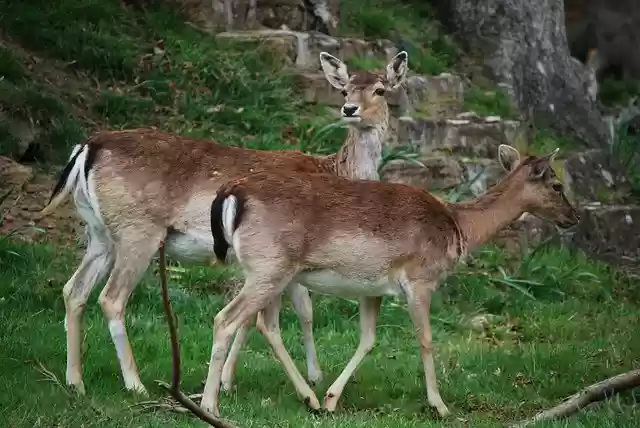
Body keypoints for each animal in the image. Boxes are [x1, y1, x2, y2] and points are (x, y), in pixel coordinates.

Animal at [39, 50, 409, 398]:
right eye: (345, 88)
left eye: (379, 89)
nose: (349, 109)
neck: (335, 171)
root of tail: (87, 147)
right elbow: (282, 313)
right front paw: (280, 380)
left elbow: (297, 312)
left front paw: (295, 377)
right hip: (137, 230)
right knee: (112, 298)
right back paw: (135, 384)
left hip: (99, 232)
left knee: (74, 290)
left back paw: (75, 382)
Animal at [199, 144, 580, 418]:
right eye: (557, 185)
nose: (573, 217)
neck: (459, 228)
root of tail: (232, 193)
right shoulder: (420, 279)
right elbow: (426, 340)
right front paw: (440, 406)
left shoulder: (372, 288)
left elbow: (368, 340)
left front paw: (332, 399)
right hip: (270, 267)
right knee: (227, 319)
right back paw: (210, 405)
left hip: (269, 271)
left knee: (263, 323)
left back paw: (308, 398)